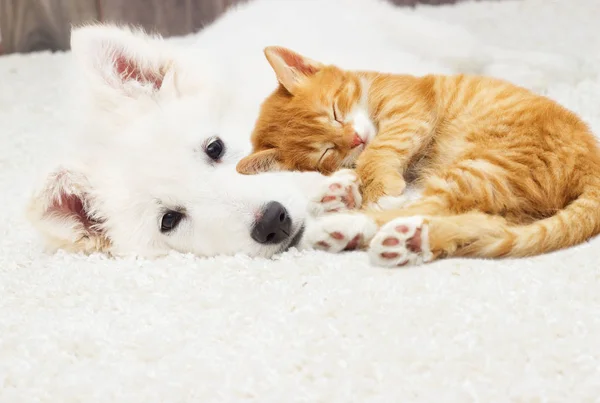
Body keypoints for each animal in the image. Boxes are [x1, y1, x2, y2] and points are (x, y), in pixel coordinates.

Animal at [236, 46, 600, 266]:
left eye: (336, 112)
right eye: (327, 151)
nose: (355, 139)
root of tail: (592, 158)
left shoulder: (410, 109)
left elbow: (379, 149)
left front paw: (375, 184)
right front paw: (351, 182)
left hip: (486, 165)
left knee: (431, 207)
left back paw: (354, 220)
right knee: (483, 222)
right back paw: (388, 232)